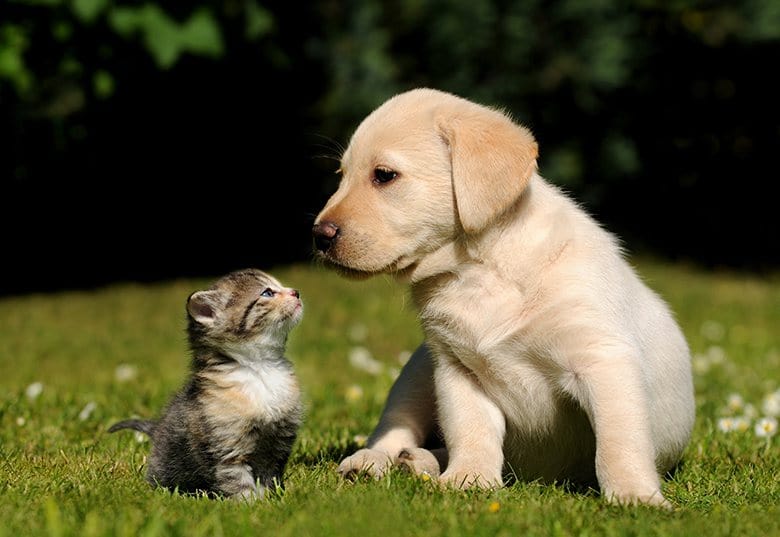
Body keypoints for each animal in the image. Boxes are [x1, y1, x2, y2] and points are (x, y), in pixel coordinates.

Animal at [108, 270, 304, 500]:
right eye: (267, 292)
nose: (296, 292)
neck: (260, 368)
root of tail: (157, 428)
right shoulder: (227, 448)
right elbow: (239, 482)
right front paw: (251, 504)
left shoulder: (277, 444)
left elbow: (269, 477)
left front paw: (273, 499)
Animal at [310, 88, 696, 506]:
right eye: (342, 176)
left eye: (384, 175)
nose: (318, 235)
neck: (479, 271)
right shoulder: (457, 369)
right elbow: (471, 430)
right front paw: (469, 479)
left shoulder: (603, 360)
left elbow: (619, 442)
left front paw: (635, 496)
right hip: (417, 372)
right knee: (395, 428)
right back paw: (378, 461)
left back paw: (418, 462)